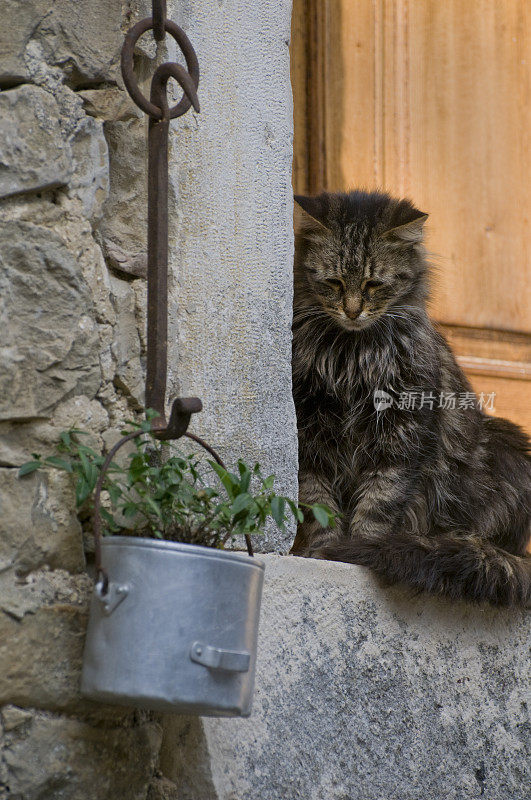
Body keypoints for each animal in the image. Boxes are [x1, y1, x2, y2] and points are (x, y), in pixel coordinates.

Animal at [290, 189, 531, 608]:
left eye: (374, 284)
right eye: (333, 282)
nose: (352, 311)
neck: (352, 354)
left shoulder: (402, 431)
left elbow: (379, 502)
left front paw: (359, 552)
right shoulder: (311, 431)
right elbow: (319, 503)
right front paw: (321, 552)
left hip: (506, 450)